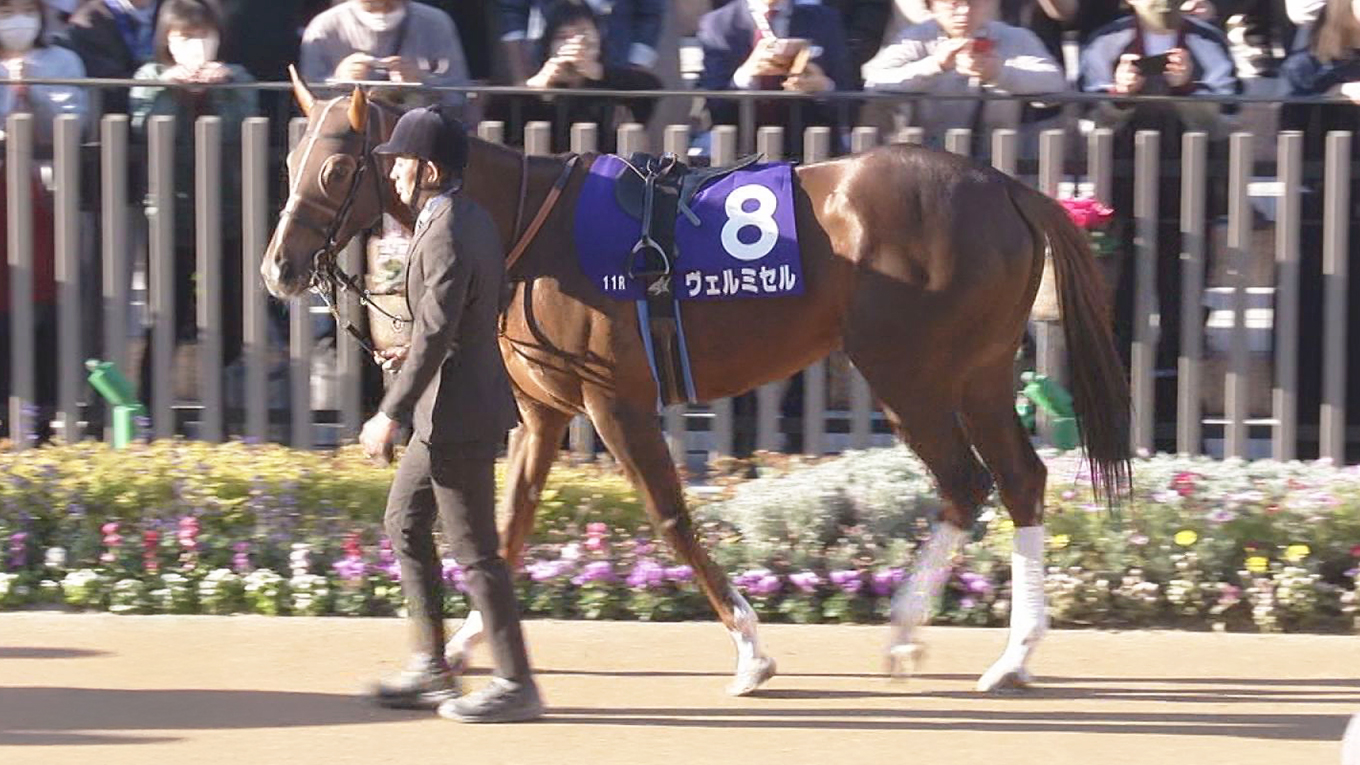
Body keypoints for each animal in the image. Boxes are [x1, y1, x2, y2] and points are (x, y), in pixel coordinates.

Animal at [261, 74, 1132, 697]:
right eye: (288, 163)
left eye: (335, 166)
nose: (278, 267)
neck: (528, 224)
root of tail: (1007, 185)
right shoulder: (544, 412)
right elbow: (508, 522)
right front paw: (477, 639)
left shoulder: (616, 400)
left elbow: (669, 516)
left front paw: (751, 649)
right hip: (977, 373)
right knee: (1019, 479)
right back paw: (1010, 654)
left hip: (907, 372)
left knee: (965, 482)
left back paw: (908, 632)